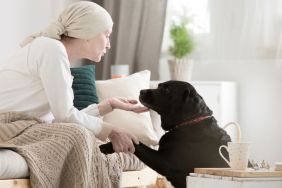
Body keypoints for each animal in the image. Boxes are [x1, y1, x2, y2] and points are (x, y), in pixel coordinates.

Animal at [100, 80, 230, 187]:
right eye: (159, 86)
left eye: (167, 90)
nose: (141, 91)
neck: (188, 123)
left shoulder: (164, 162)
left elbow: (137, 143)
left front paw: (108, 146)